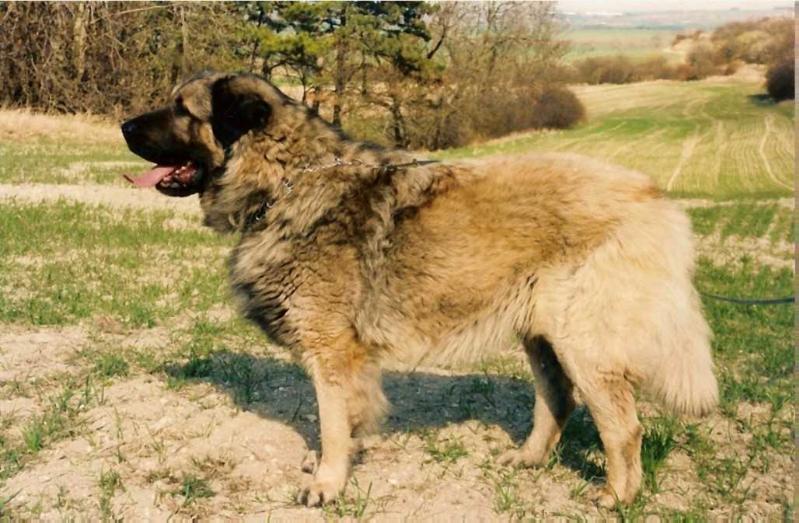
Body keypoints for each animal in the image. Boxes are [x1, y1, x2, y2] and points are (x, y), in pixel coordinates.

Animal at [120, 71, 720, 510]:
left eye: (182, 109)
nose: (123, 125)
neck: (286, 181)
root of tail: (654, 197)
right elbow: (346, 421)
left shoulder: (331, 352)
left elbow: (331, 425)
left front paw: (327, 483)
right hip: (543, 337)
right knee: (557, 400)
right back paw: (528, 461)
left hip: (584, 343)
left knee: (623, 427)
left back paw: (616, 497)